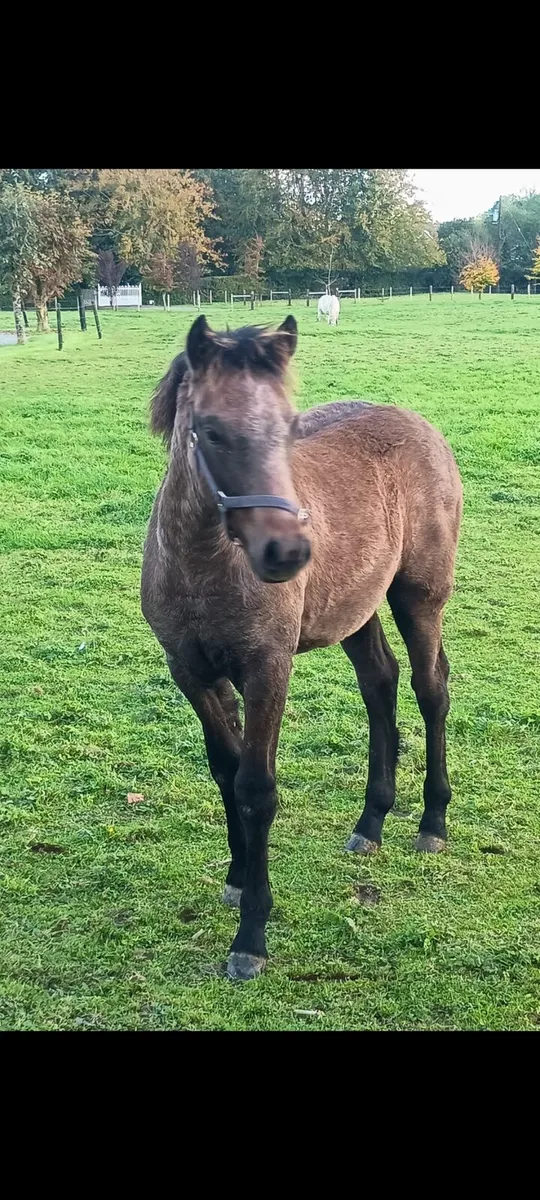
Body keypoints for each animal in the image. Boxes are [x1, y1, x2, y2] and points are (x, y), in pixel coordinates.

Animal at [141, 314, 463, 981]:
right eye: (212, 430)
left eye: (289, 426)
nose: (287, 551)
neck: (203, 566)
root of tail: (420, 424)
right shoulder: (191, 670)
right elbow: (224, 768)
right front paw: (238, 877)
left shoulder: (267, 669)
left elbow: (256, 788)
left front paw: (251, 937)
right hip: (355, 608)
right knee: (380, 682)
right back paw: (371, 822)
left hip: (419, 596)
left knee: (430, 688)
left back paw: (431, 822)